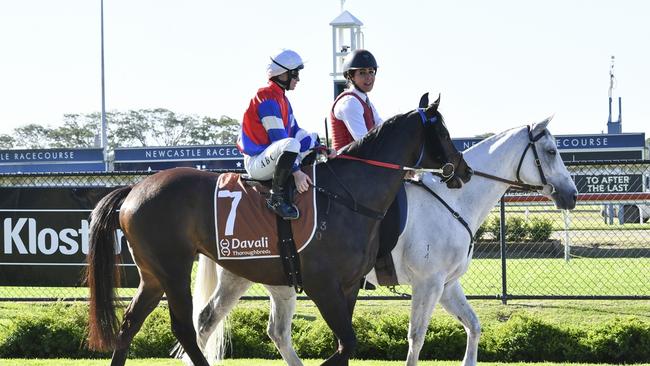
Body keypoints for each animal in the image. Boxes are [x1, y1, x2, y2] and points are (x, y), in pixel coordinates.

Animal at [85, 96, 470, 364]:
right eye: (443, 131)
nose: (463, 171)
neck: (348, 195)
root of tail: (135, 188)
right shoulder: (323, 285)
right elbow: (348, 344)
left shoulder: (348, 287)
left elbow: (345, 346)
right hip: (174, 270)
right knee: (185, 329)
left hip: (154, 275)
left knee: (130, 324)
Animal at [190, 118, 576, 366]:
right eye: (551, 151)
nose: (571, 195)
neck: (453, 201)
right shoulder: (428, 283)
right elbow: (416, 338)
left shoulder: (447, 284)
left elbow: (474, 326)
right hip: (254, 277)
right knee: (218, 324)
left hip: (271, 280)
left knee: (265, 331)